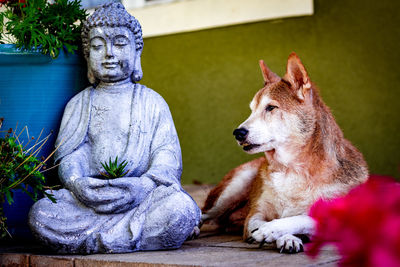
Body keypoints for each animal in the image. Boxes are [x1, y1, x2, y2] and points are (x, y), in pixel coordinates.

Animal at [200, 51, 368, 253]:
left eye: (271, 107)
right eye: (252, 110)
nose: (238, 133)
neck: (291, 169)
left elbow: (301, 218)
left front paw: (276, 232)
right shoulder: (255, 213)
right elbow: (257, 223)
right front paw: (272, 233)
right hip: (234, 187)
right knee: (203, 213)